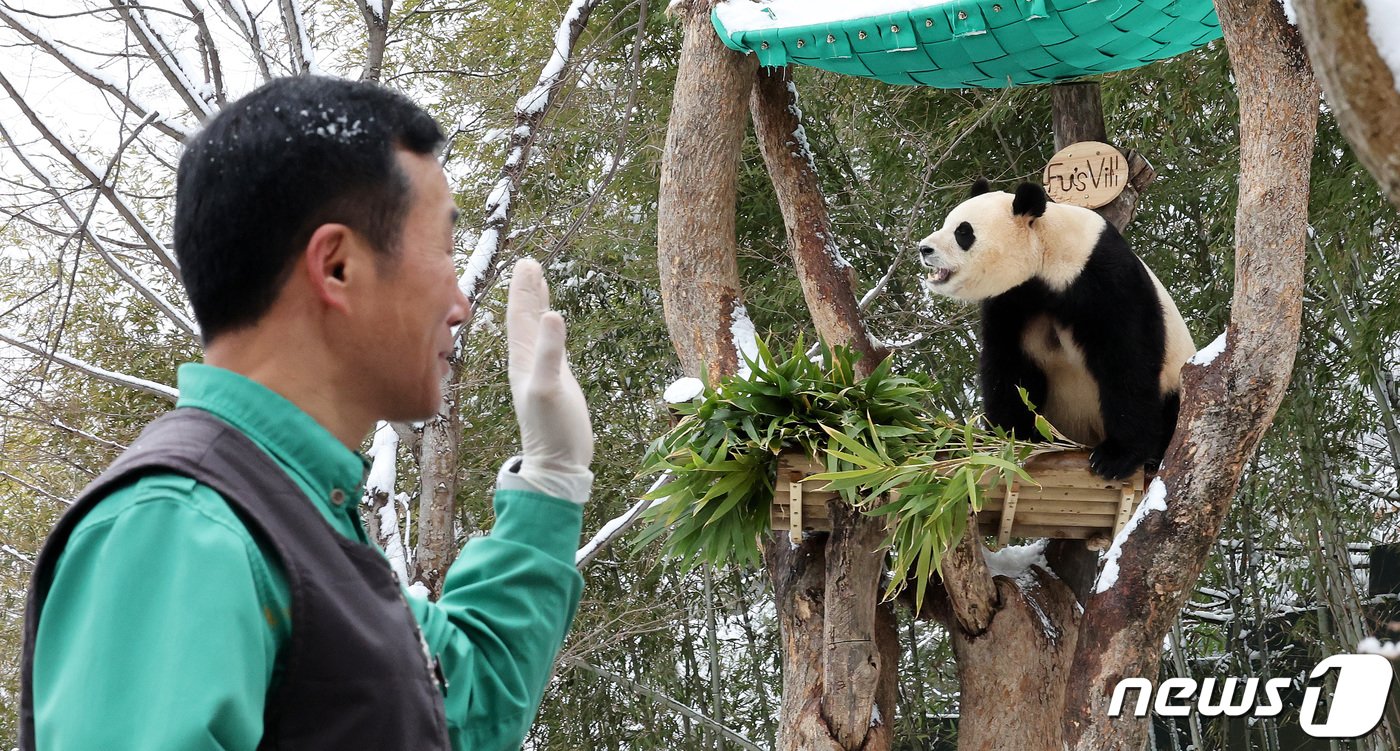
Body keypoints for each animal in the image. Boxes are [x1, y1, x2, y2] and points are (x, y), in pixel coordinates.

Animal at [918, 178, 1192, 479]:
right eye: (947, 223)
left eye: (963, 232)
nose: (924, 249)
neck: (1049, 253)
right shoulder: (1013, 301)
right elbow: (1009, 366)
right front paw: (1010, 438)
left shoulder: (1105, 279)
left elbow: (1126, 360)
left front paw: (1115, 458)